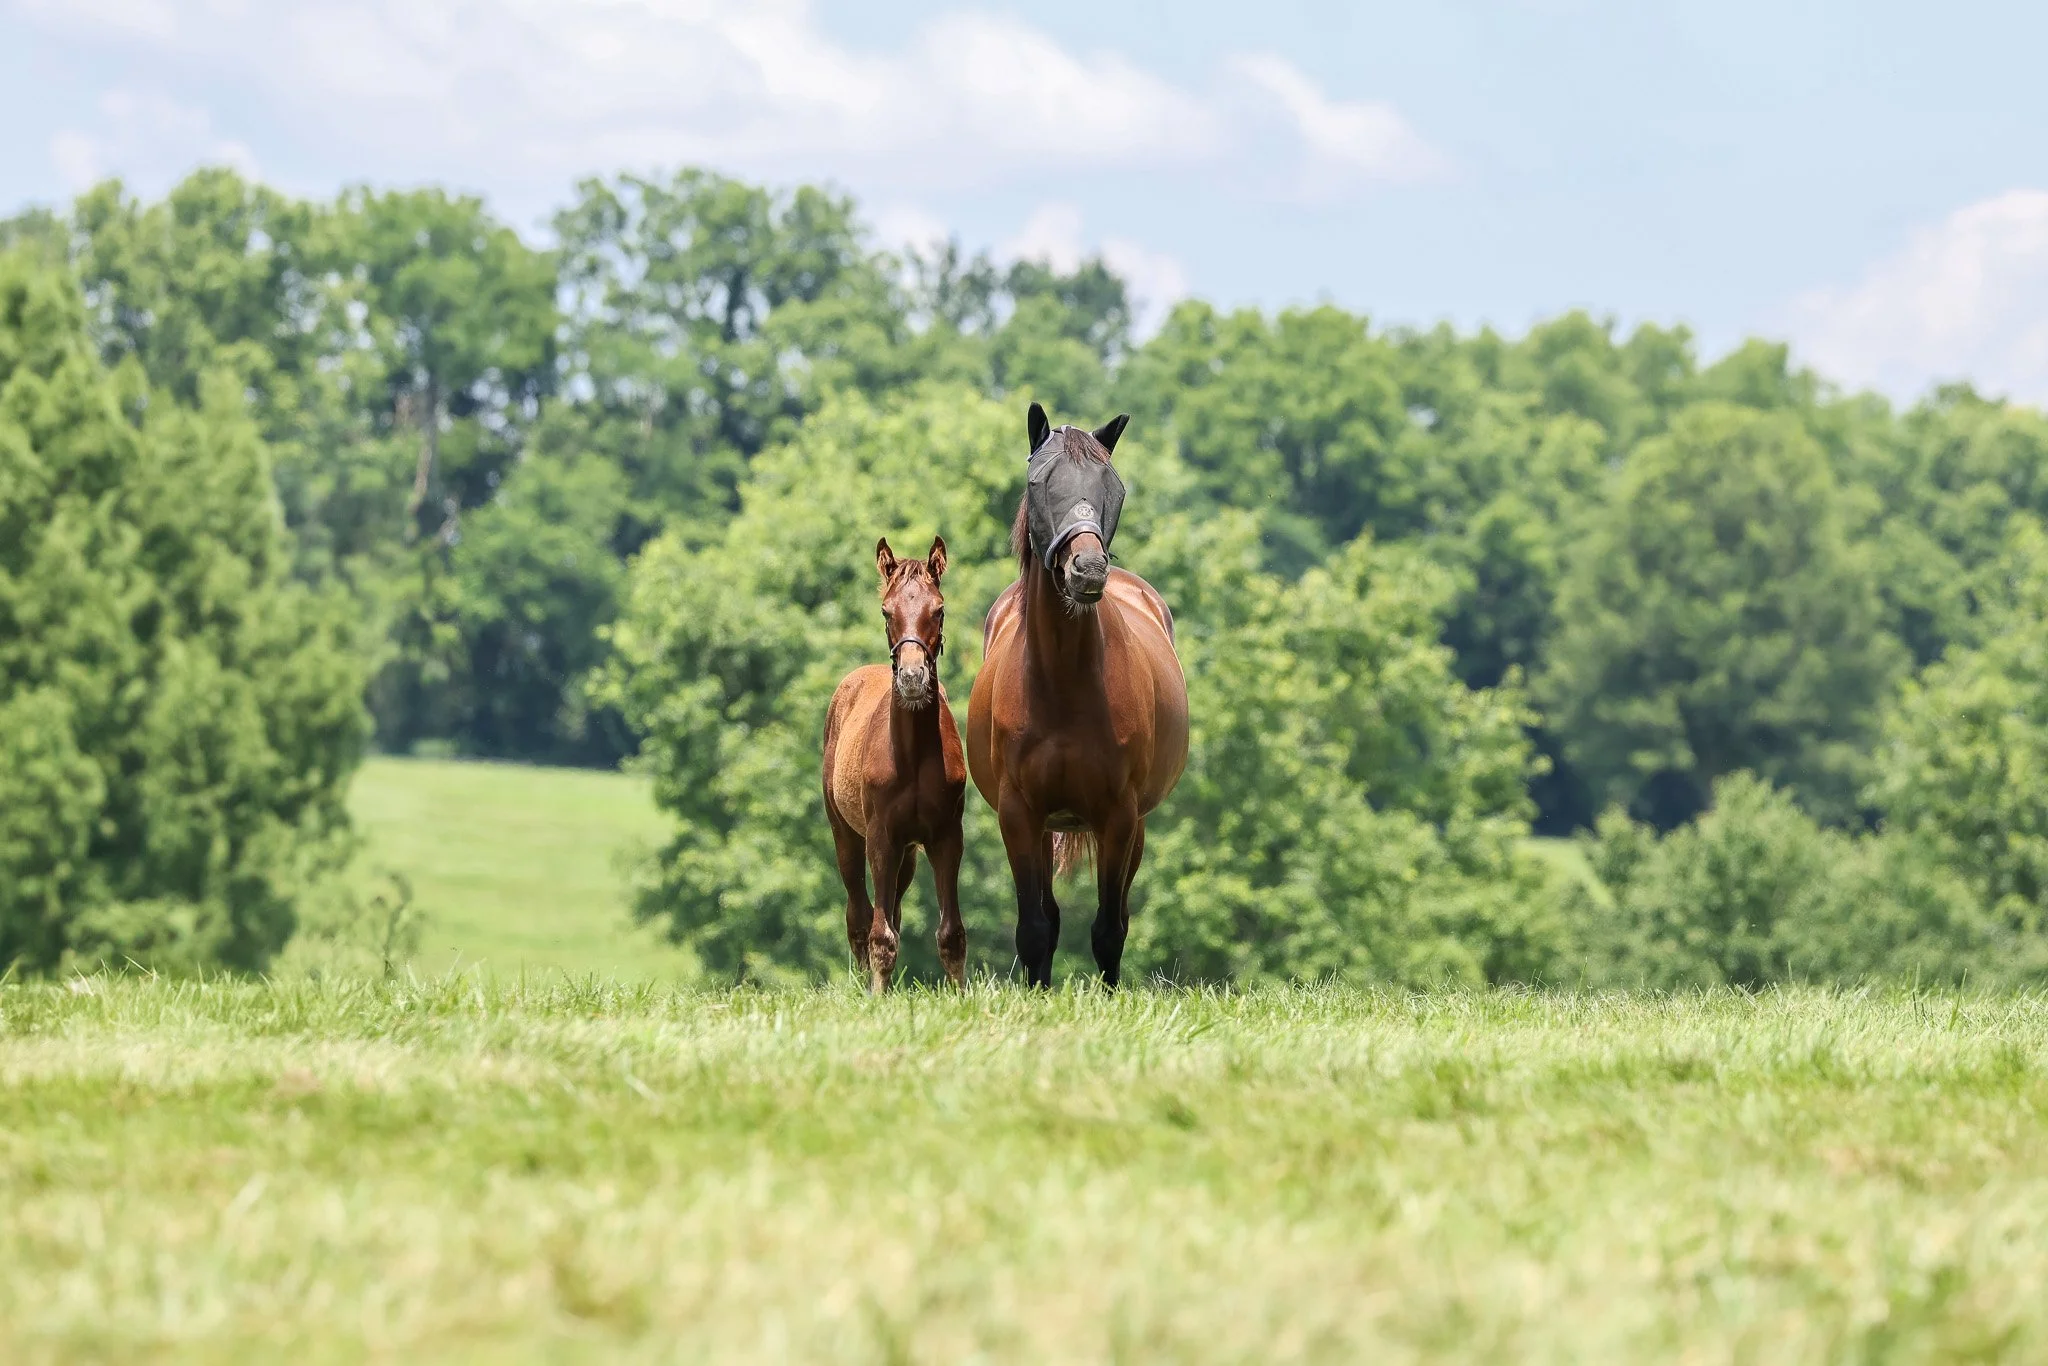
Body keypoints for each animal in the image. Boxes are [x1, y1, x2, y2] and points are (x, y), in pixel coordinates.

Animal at [822, 535, 969, 992]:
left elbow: (951, 934)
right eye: (887, 611)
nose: (912, 678)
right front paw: (876, 997)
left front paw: (961, 997)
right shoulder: (881, 837)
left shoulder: (945, 837)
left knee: (894, 911)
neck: (912, 756)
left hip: (909, 851)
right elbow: (879, 933)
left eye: (939, 609)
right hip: (846, 835)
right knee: (858, 915)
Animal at [967, 404, 1189, 988]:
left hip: (1134, 828)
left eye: (1114, 486)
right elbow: (1034, 929)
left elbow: (1109, 929)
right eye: (1041, 482)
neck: (1063, 682)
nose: (1086, 569)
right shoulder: (1020, 815)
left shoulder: (1119, 816)